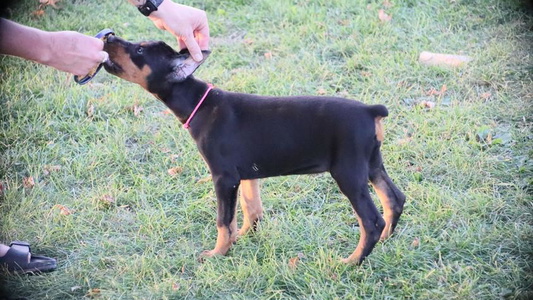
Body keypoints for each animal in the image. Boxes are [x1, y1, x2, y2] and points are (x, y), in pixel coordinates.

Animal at [103, 35, 404, 264]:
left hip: (348, 172)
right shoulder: (248, 174)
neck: (198, 102)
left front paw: (218, 253)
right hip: (371, 164)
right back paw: (385, 239)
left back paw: (352, 260)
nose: (108, 37)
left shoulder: (224, 177)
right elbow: (251, 209)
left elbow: (223, 220)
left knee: (371, 220)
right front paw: (243, 237)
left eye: (139, 50)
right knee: (395, 199)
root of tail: (371, 110)